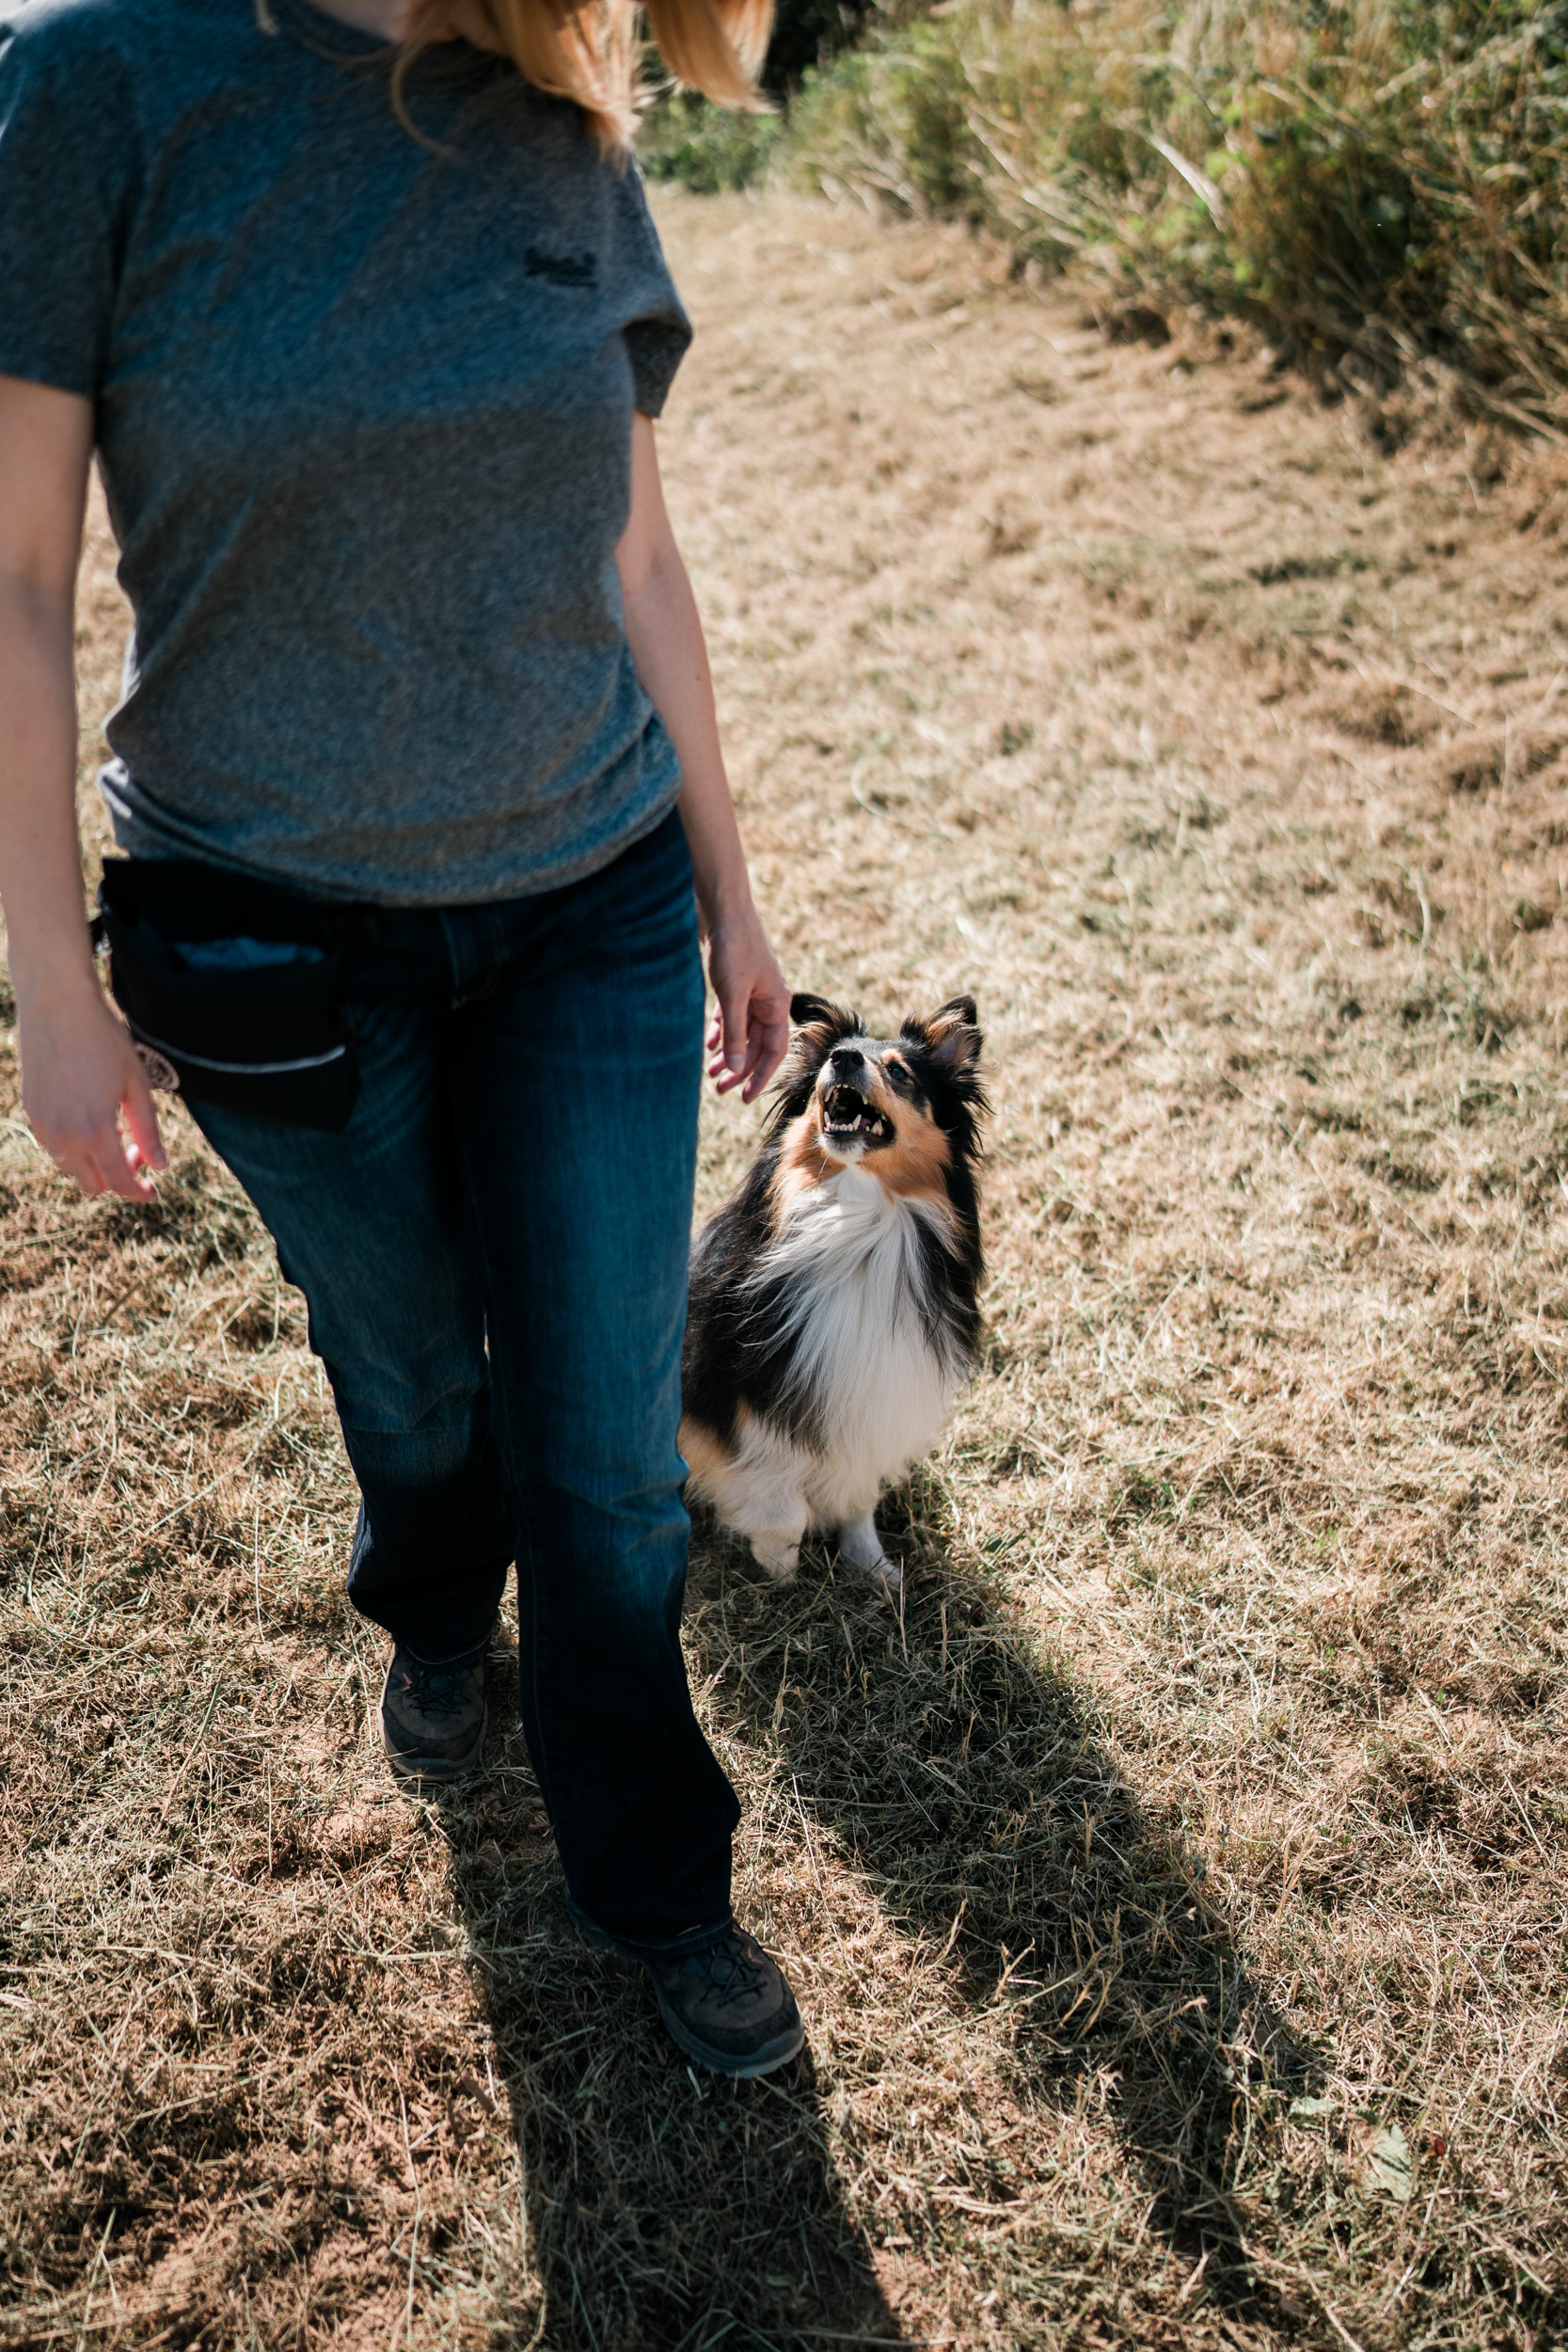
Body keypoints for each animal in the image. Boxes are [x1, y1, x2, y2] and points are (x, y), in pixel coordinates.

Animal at [681, 993, 987, 1599]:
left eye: (900, 1071)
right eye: (831, 1058)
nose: (842, 1058)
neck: (856, 1216)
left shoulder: (874, 1393)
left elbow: (858, 1494)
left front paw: (873, 1567)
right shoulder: (740, 1403)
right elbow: (783, 1509)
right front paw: (779, 1570)